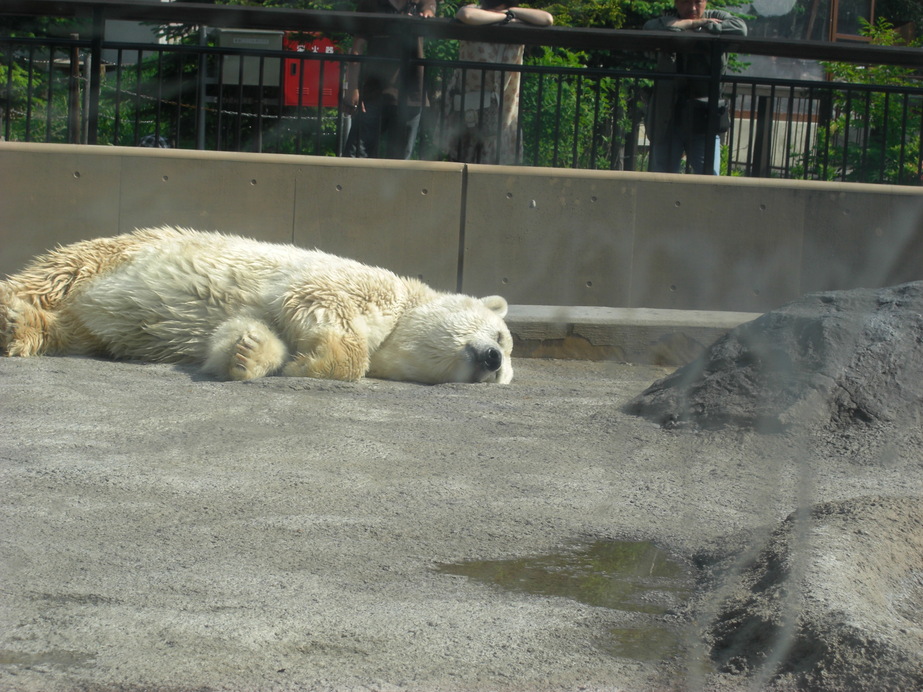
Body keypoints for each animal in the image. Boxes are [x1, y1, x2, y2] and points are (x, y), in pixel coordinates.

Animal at [0, 230, 516, 386]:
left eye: (503, 374)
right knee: (51, 277)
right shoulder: (358, 284)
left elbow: (235, 334)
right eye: (502, 337)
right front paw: (321, 361)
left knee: (72, 330)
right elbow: (316, 299)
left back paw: (21, 328)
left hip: (91, 321)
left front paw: (251, 355)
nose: (493, 362)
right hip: (108, 256)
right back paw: (11, 306)